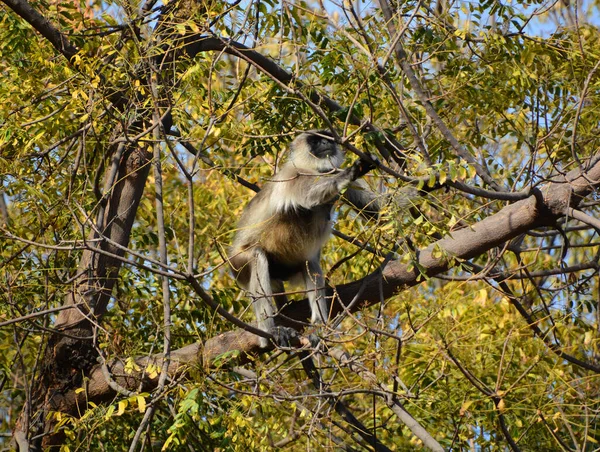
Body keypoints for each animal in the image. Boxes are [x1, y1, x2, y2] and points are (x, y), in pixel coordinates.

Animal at [227, 129, 378, 348]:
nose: (325, 143)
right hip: (238, 265)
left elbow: (378, 210)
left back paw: (319, 328)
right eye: (315, 141)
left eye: (326, 138)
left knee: (310, 263)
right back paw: (270, 332)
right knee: (257, 256)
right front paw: (353, 170)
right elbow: (308, 196)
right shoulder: (292, 174)